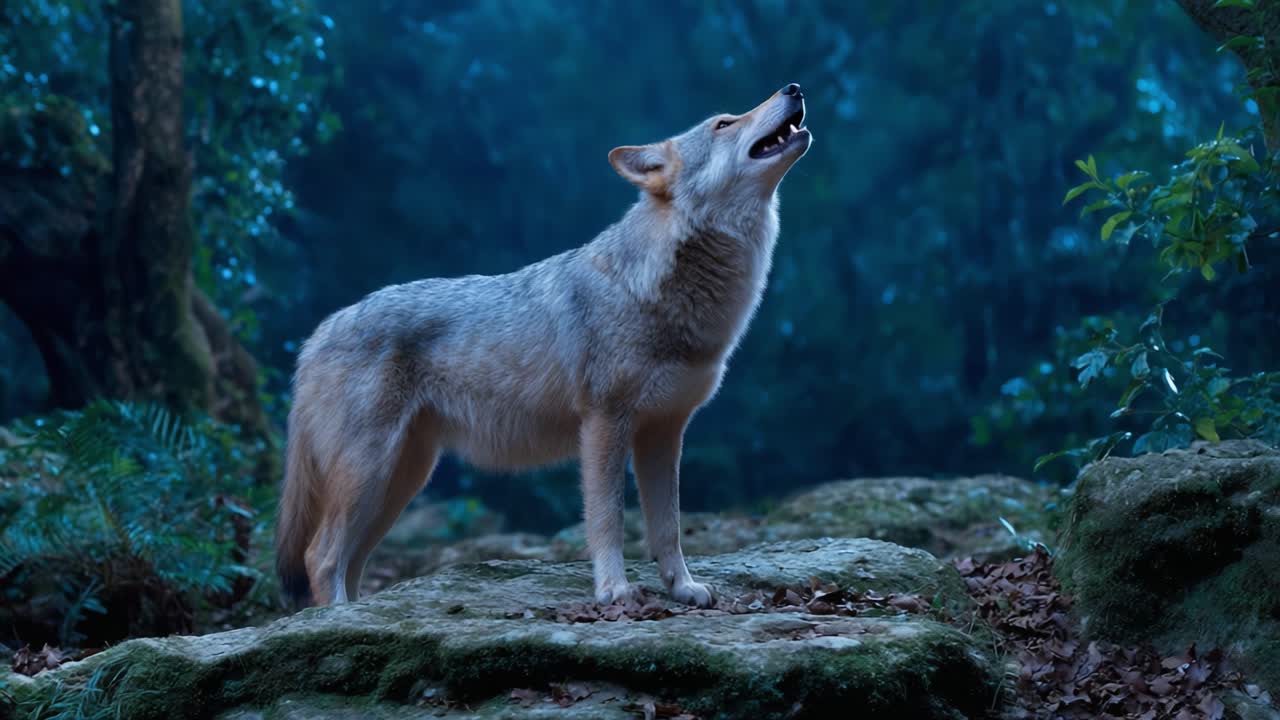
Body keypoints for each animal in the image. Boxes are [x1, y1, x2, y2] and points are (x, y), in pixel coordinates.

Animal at [275, 83, 812, 608]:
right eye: (724, 122)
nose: (794, 88)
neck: (655, 286)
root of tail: (318, 333)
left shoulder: (664, 433)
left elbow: (668, 527)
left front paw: (682, 588)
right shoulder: (604, 425)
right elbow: (609, 520)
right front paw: (614, 591)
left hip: (400, 481)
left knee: (350, 560)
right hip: (373, 471)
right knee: (321, 556)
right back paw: (338, 619)